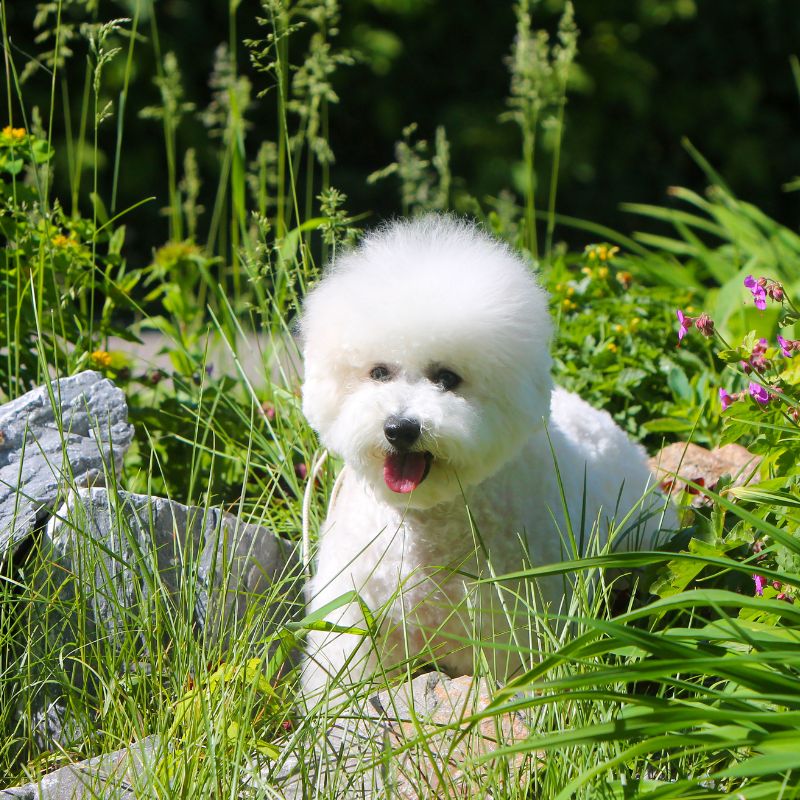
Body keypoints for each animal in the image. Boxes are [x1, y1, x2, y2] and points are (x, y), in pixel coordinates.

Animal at [300, 216, 668, 696]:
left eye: (447, 378)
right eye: (378, 372)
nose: (400, 429)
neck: (429, 526)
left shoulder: (514, 620)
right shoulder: (355, 608)